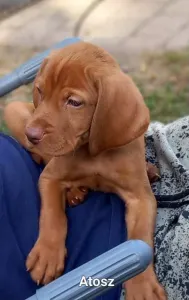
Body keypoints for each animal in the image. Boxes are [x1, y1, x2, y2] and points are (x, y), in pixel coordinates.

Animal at [3, 42, 166, 300]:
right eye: (40, 91)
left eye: (74, 102)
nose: (32, 135)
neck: (92, 152)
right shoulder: (49, 177)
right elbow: (52, 215)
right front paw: (47, 255)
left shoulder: (141, 198)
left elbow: (140, 237)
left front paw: (142, 287)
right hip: (14, 109)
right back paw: (73, 192)